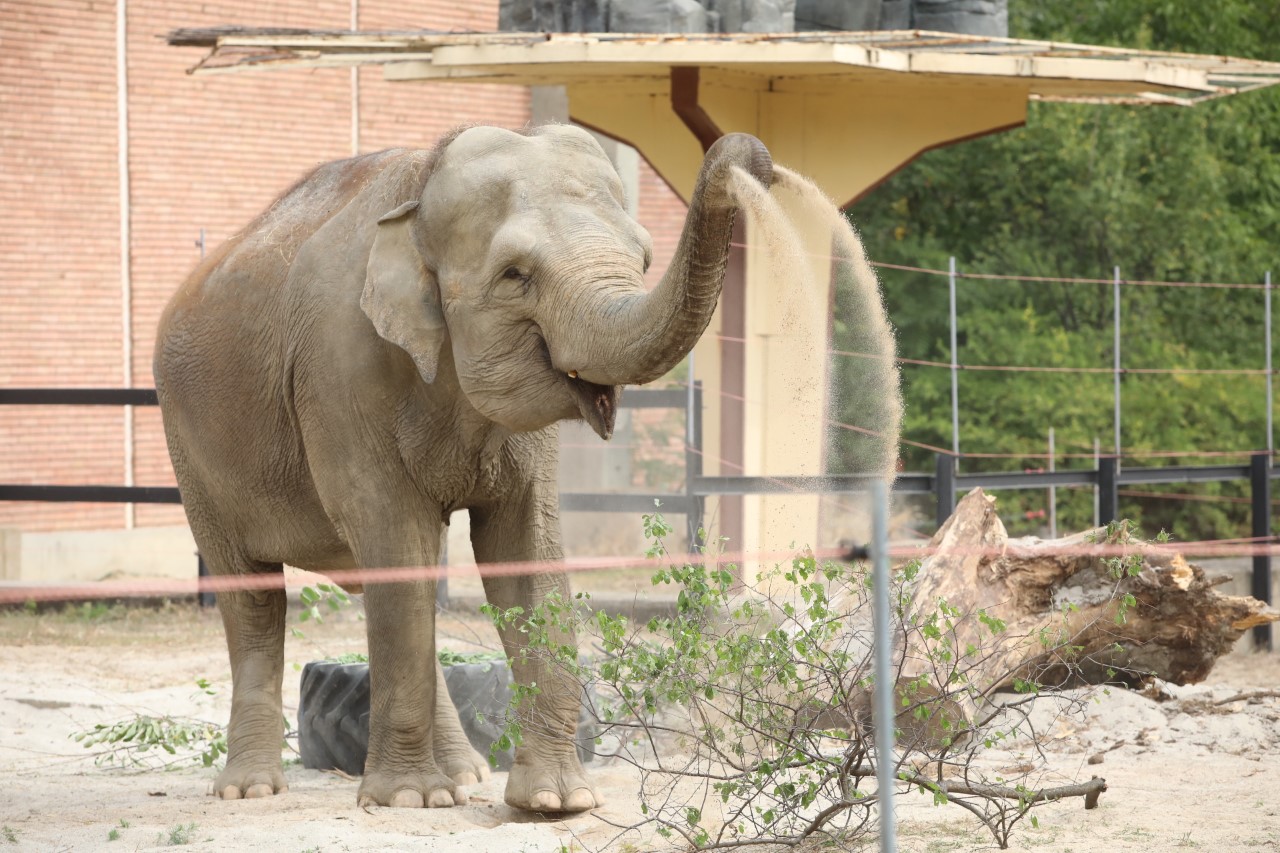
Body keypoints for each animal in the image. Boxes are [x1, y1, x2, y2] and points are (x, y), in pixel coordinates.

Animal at [149, 121, 768, 809]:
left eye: (644, 261)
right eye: (516, 275)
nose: (746, 155)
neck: (421, 191)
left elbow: (523, 549)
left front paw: (554, 803)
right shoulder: (338, 374)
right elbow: (393, 538)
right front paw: (405, 800)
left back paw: (465, 775)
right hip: (189, 447)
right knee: (256, 597)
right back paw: (254, 789)